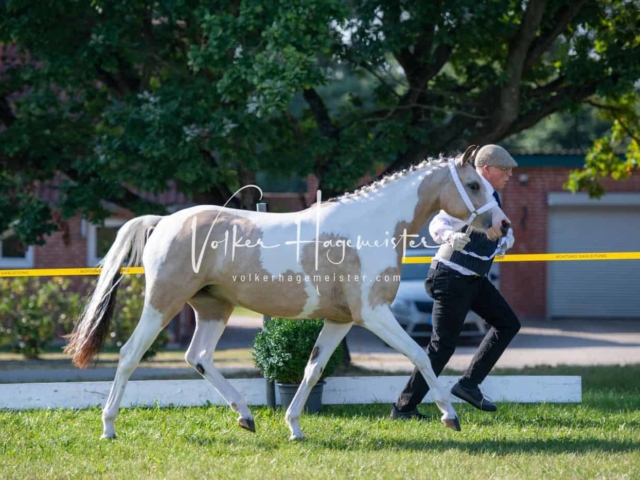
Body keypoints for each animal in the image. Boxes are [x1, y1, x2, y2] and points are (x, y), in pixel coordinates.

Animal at [62, 144, 508, 440]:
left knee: (198, 356)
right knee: (130, 354)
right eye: (473, 185)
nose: (502, 226)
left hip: (213, 307)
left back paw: (246, 417)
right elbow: (420, 355)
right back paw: (109, 427)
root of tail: (163, 222)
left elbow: (312, 369)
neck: (371, 225)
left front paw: (294, 427)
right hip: (162, 303)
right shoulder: (374, 313)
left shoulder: (340, 321)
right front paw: (451, 416)